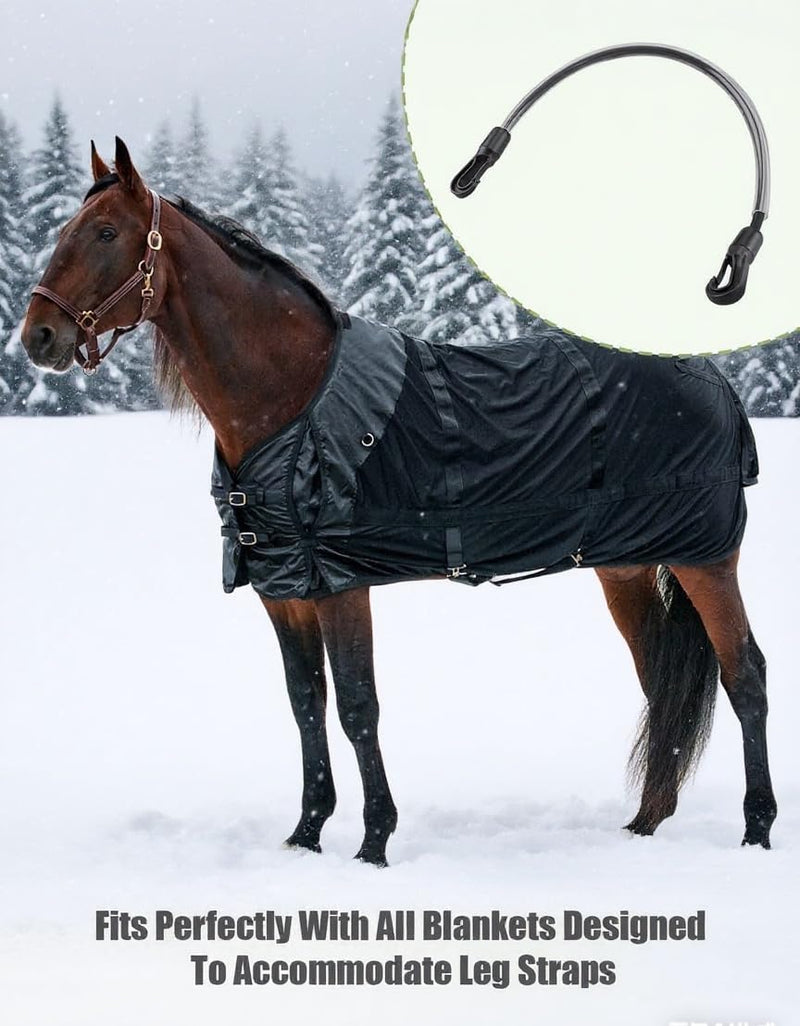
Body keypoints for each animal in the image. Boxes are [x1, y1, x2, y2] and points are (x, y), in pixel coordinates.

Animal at [20, 138, 777, 866]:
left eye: (106, 232)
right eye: (66, 230)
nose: (38, 337)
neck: (292, 401)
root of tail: (713, 376)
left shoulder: (340, 583)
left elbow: (358, 708)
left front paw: (374, 843)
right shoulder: (283, 589)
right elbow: (306, 706)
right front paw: (306, 835)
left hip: (706, 560)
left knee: (745, 676)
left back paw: (756, 830)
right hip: (626, 568)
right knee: (660, 682)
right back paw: (645, 824)